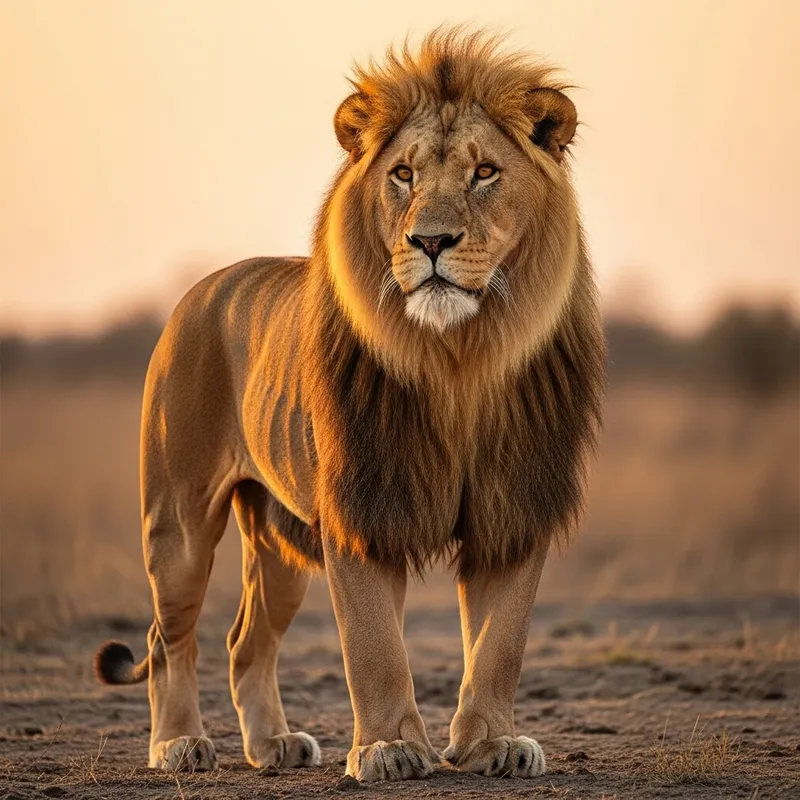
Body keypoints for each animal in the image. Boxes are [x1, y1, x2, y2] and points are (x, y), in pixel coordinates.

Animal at [94, 28, 605, 782]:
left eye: (485, 173)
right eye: (403, 175)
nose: (431, 241)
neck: (459, 359)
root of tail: (200, 289)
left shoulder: (512, 507)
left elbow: (500, 643)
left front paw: (493, 744)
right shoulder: (364, 506)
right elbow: (373, 645)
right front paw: (388, 748)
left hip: (277, 539)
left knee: (246, 642)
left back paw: (273, 745)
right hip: (178, 522)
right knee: (167, 638)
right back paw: (178, 744)